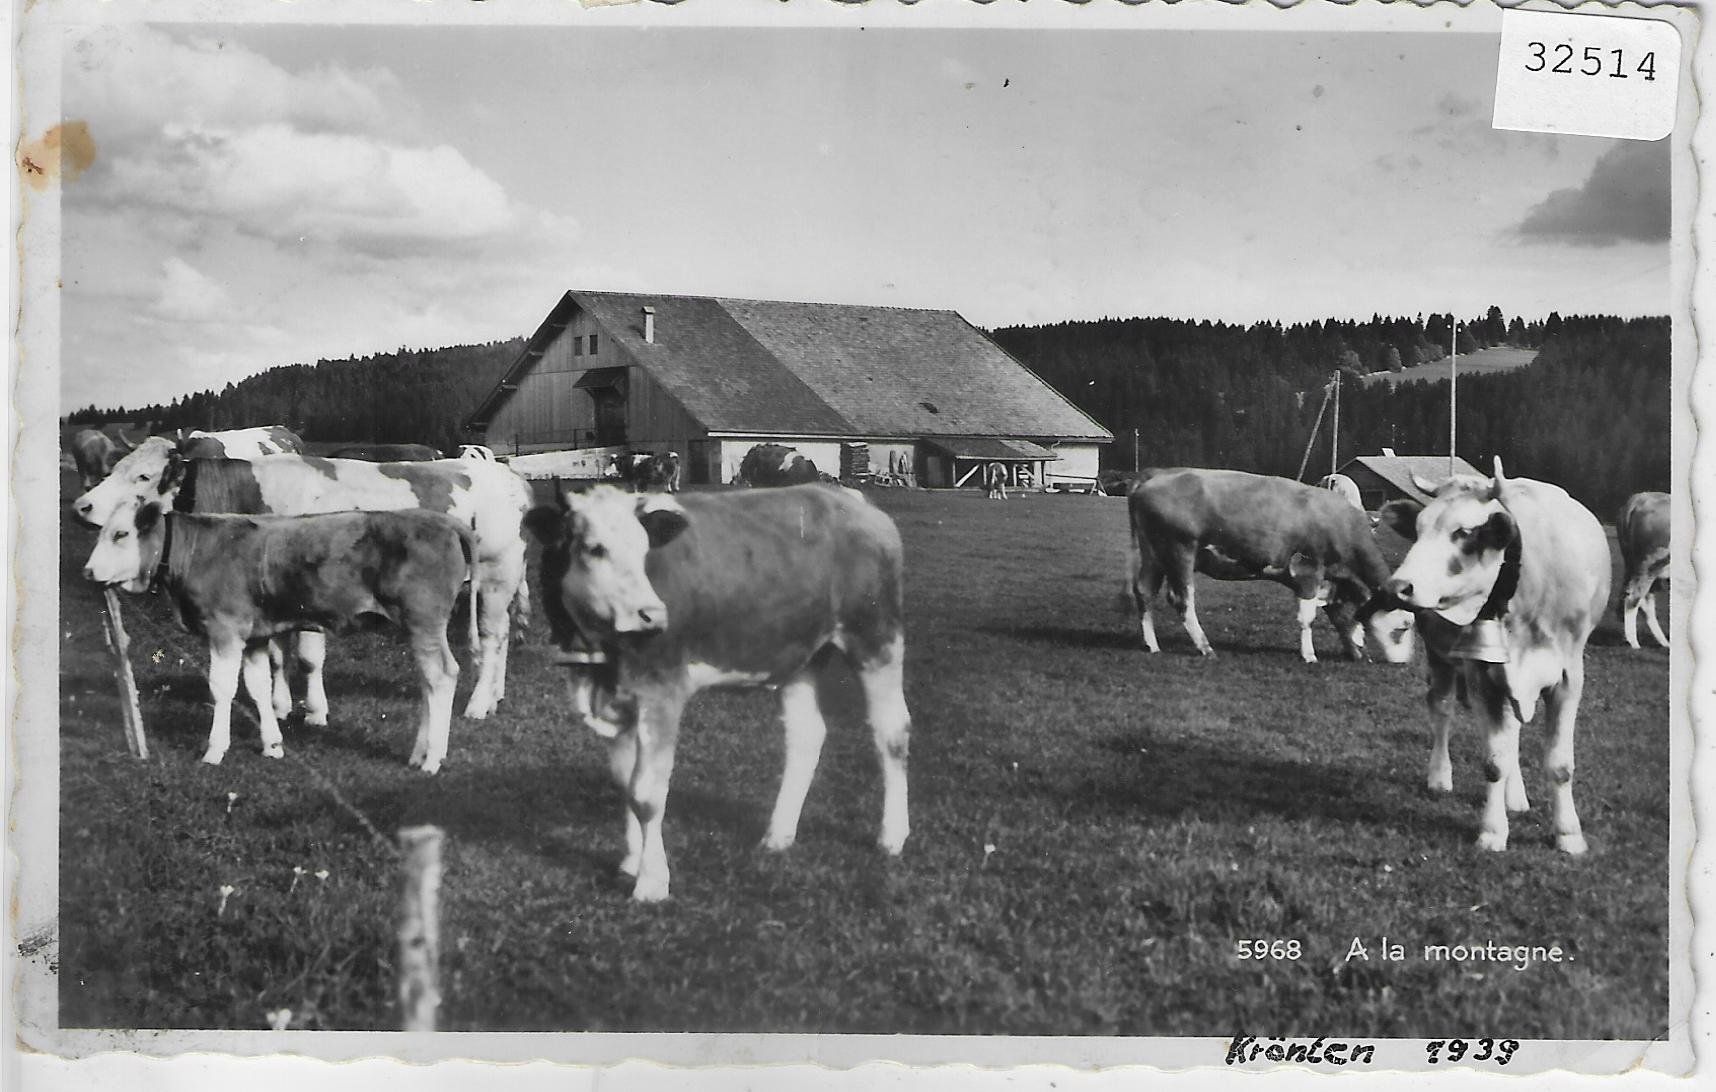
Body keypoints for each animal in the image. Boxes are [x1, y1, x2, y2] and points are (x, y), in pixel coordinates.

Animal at [80, 453, 532, 721]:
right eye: (115, 465)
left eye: (142, 474)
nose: (81, 505)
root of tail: (507, 474)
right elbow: (278, 657)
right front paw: (280, 706)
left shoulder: (314, 597)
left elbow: (308, 658)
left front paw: (314, 711)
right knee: (504, 633)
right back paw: (496, 694)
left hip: (498, 571)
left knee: (492, 637)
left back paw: (478, 704)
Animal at [83, 501, 473, 773]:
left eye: (120, 534)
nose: (87, 572)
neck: (194, 550)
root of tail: (446, 522)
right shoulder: (254, 636)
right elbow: (258, 687)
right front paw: (272, 745)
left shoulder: (225, 629)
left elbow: (222, 688)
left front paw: (214, 749)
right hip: (417, 627)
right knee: (428, 682)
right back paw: (419, 753)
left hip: (424, 621)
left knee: (443, 676)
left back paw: (432, 759)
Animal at [524, 483, 911, 902]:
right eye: (595, 548)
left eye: (644, 548)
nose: (652, 615)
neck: (597, 655)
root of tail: (846, 496)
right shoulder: (619, 697)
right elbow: (625, 782)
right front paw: (630, 862)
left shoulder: (662, 689)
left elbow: (646, 794)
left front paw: (652, 881)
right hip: (801, 655)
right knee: (807, 735)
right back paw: (778, 835)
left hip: (876, 637)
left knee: (892, 732)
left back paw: (892, 836)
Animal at [1127, 468, 1416, 664]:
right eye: (1403, 628)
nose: (1403, 662)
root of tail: (1157, 474)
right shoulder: (1309, 570)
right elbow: (1307, 617)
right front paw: (1309, 655)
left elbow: (1341, 618)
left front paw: (1353, 648)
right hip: (1179, 551)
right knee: (1183, 600)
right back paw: (1204, 647)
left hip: (1155, 555)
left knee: (1144, 592)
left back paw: (1151, 645)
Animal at [1379, 458, 1609, 854]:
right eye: (1419, 528)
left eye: (1463, 532)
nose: (1398, 587)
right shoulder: (1483, 674)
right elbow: (1494, 761)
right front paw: (1491, 831)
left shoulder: (1568, 676)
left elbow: (1560, 764)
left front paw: (1568, 834)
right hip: (1441, 657)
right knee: (1441, 708)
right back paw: (1440, 777)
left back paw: (1515, 798)